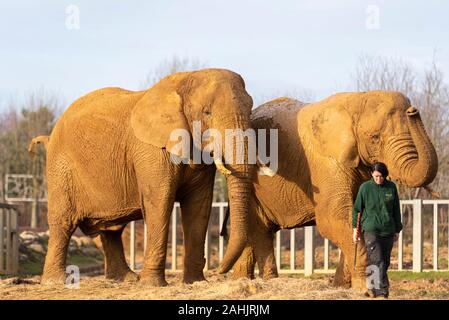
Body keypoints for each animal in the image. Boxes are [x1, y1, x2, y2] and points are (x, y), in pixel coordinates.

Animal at [38, 69, 256, 286]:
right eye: (207, 112)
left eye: (251, 110)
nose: (219, 271)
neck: (185, 79)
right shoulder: (151, 150)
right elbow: (160, 201)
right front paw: (153, 284)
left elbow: (199, 204)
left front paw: (195, 282)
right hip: (60, 167)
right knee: (63, 222)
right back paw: (55, 281)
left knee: (109, 229)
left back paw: (126, 279)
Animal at [231, 90, 438, 290]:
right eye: (375, 138)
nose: (413, 111)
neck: (358, 99)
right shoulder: (326, 162)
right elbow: (332, 216)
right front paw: (365, 290)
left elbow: (355, 216)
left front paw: (341, 287)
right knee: (260, 229)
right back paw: (265, 281)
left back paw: (242, 280)